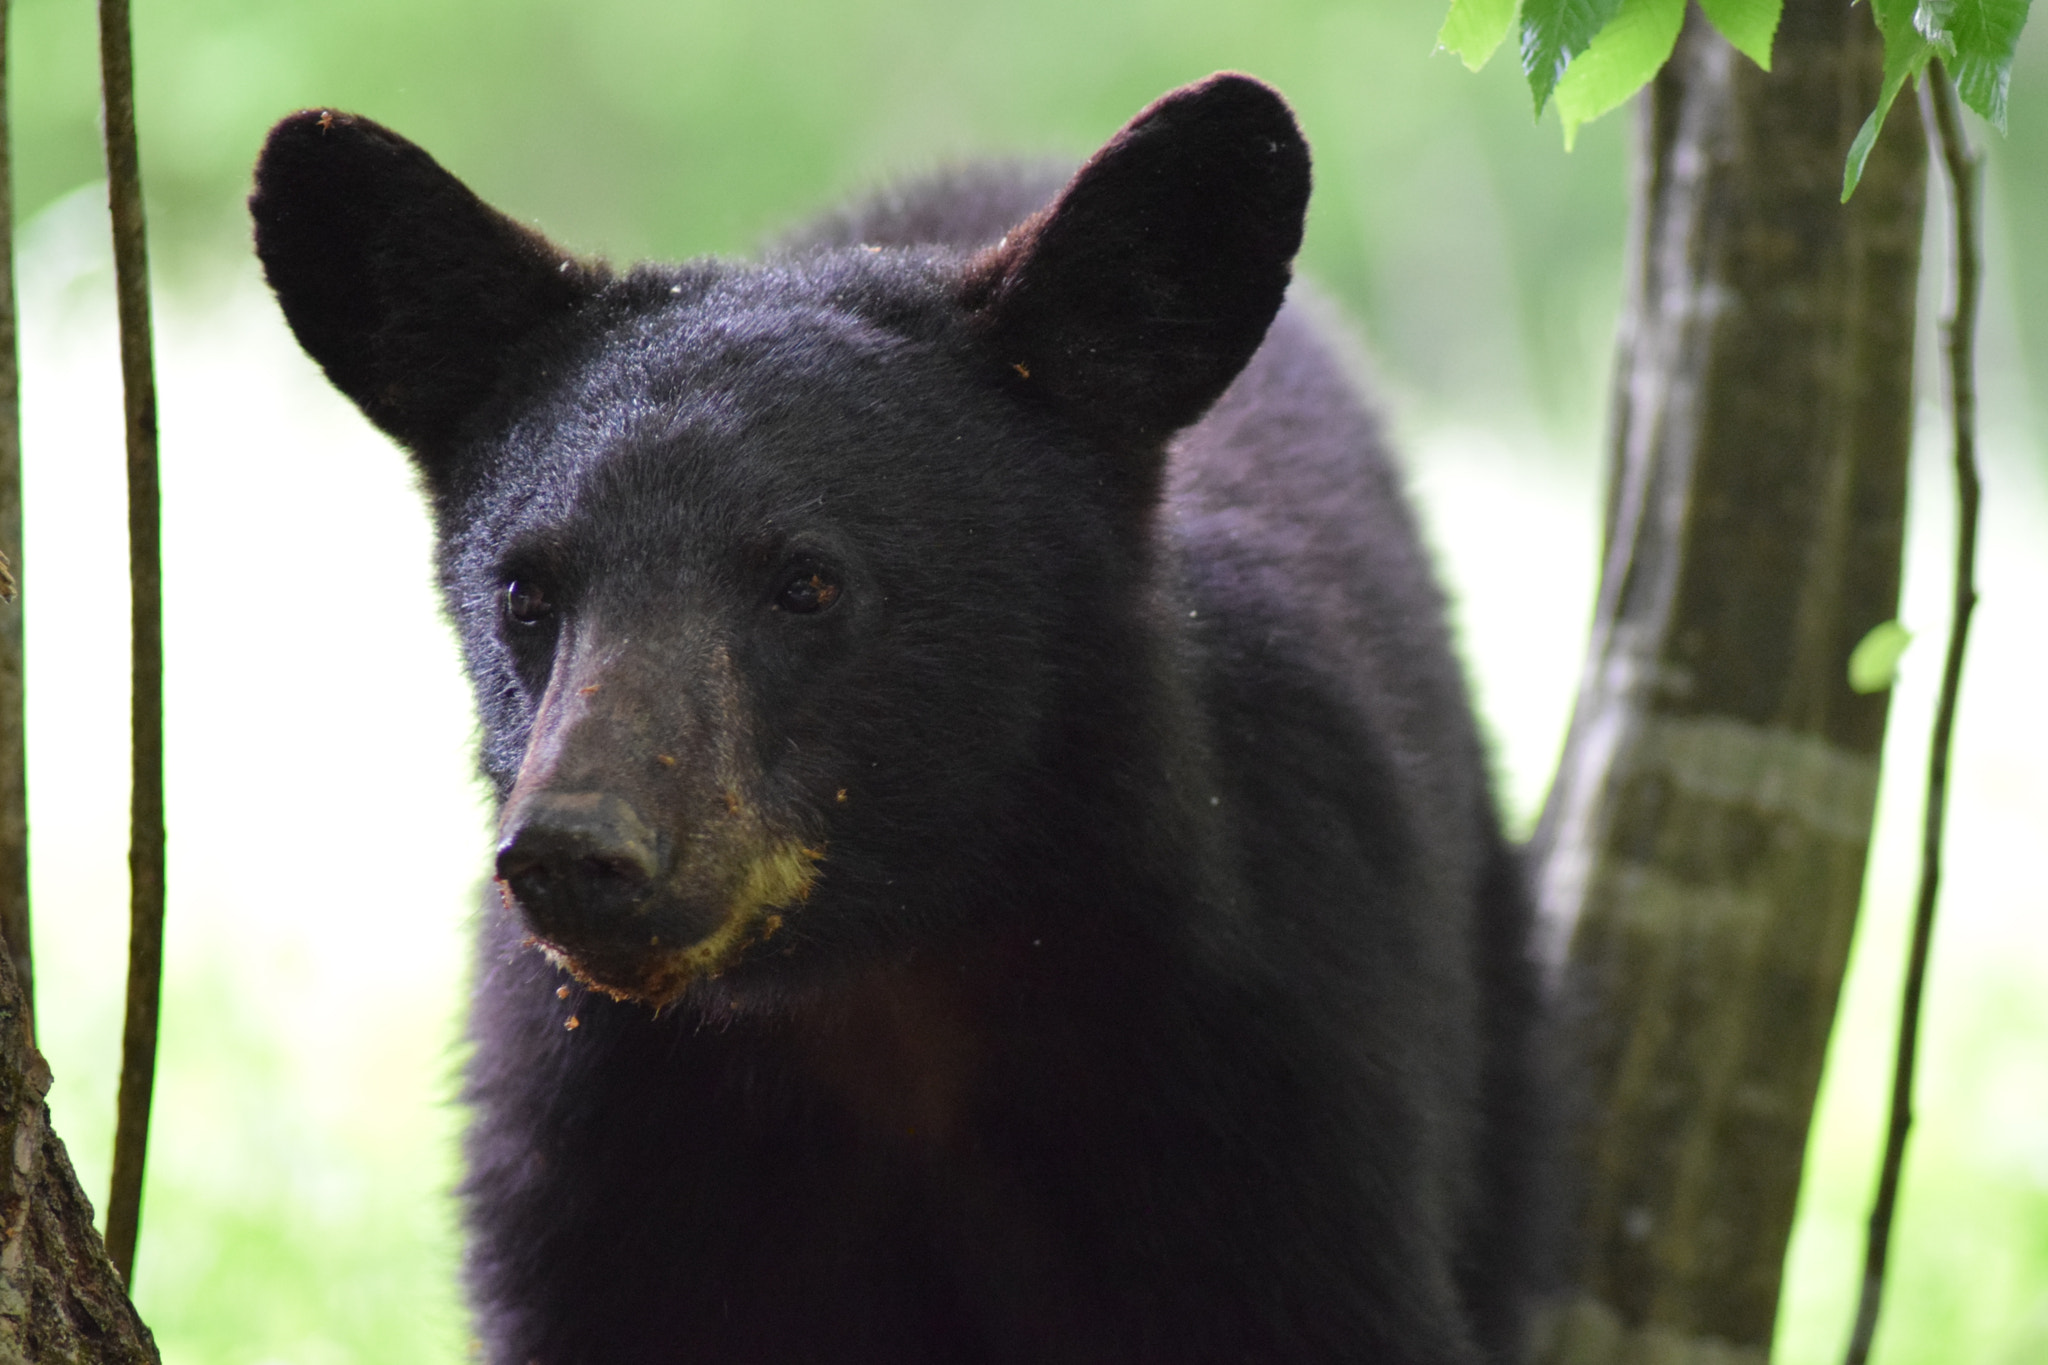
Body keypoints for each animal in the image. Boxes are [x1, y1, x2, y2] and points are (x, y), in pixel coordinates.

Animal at [247, 74, 1540, 1365]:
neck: (887, 989)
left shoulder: (1276, 1084)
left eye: (806, 581)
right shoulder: (597, 1155)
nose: (579, 850)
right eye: (526, 591)